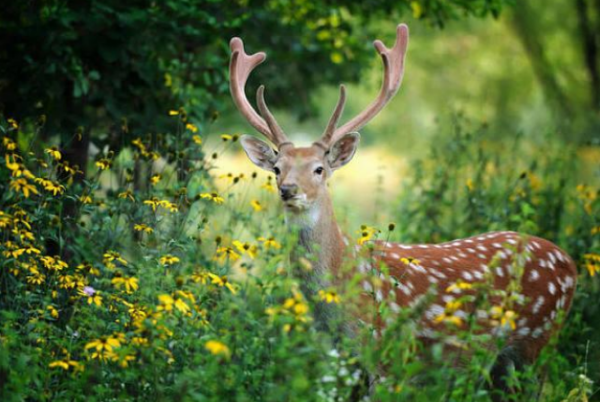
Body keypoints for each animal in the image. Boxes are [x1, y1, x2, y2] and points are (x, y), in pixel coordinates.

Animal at [229, 23, 576, 398]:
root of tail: (570, 263)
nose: (288, 190)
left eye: (319, 169)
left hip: (538, 343)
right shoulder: (340, 362)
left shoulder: (386, 356)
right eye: (277, 168)